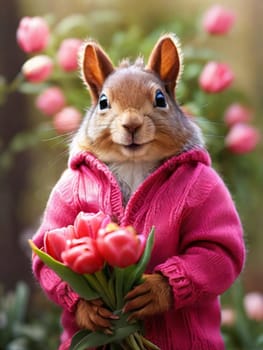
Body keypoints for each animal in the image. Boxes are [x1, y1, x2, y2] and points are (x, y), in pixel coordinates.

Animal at [32, 33, 246, 350]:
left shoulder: (206, 188)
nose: (131, 124)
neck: (134, 163)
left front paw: (156, 292)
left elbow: (216, 249)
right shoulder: (66, 191)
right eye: (103, 102)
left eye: (160, 99)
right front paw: (89, 310)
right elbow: (46, 246)